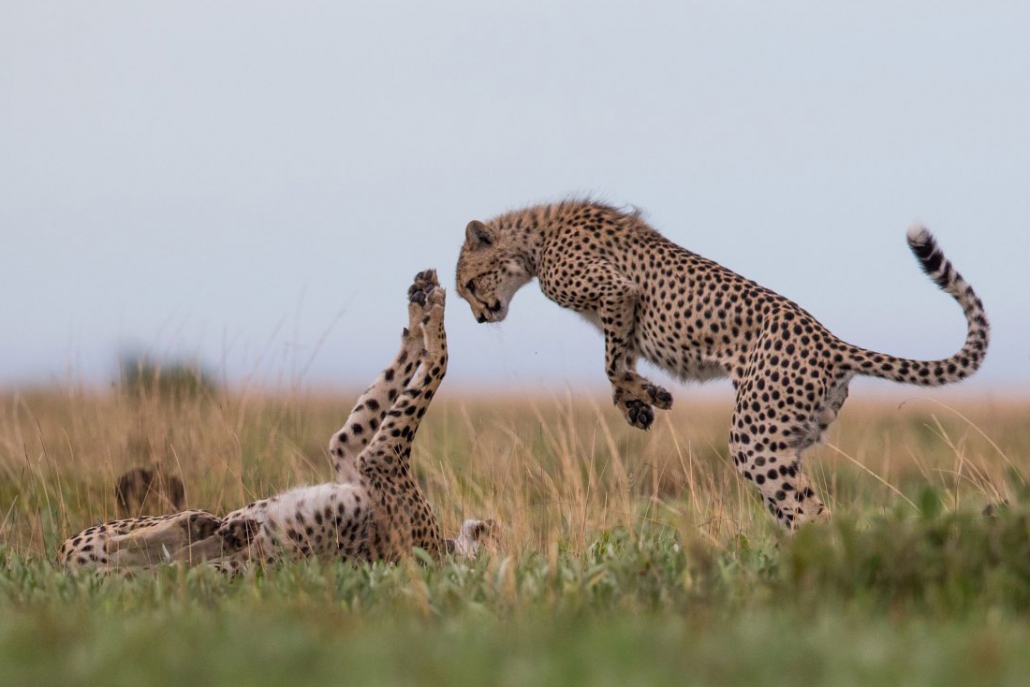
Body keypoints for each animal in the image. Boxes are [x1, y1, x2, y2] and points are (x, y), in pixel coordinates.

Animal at [59, 271, 494, 572]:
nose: (489, 524)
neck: (443, 551)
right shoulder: (351, 453)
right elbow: (383, 392)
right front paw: (421, 311)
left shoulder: (378, 459)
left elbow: (440, 365)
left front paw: (434, 317)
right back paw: (213, 530)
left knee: (147, 557)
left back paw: (208, 533)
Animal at [459, 201, 988, 531]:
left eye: (467, 283)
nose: (480, 317)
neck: (535, 239)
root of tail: (831, 340)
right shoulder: (621, 312)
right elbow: (619, 360)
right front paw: (641, 403)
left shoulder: (617, 293)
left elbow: (612, 362)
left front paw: (646, 396)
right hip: (789, 437)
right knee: (794, 508)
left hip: (755, 437)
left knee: (810, 512)